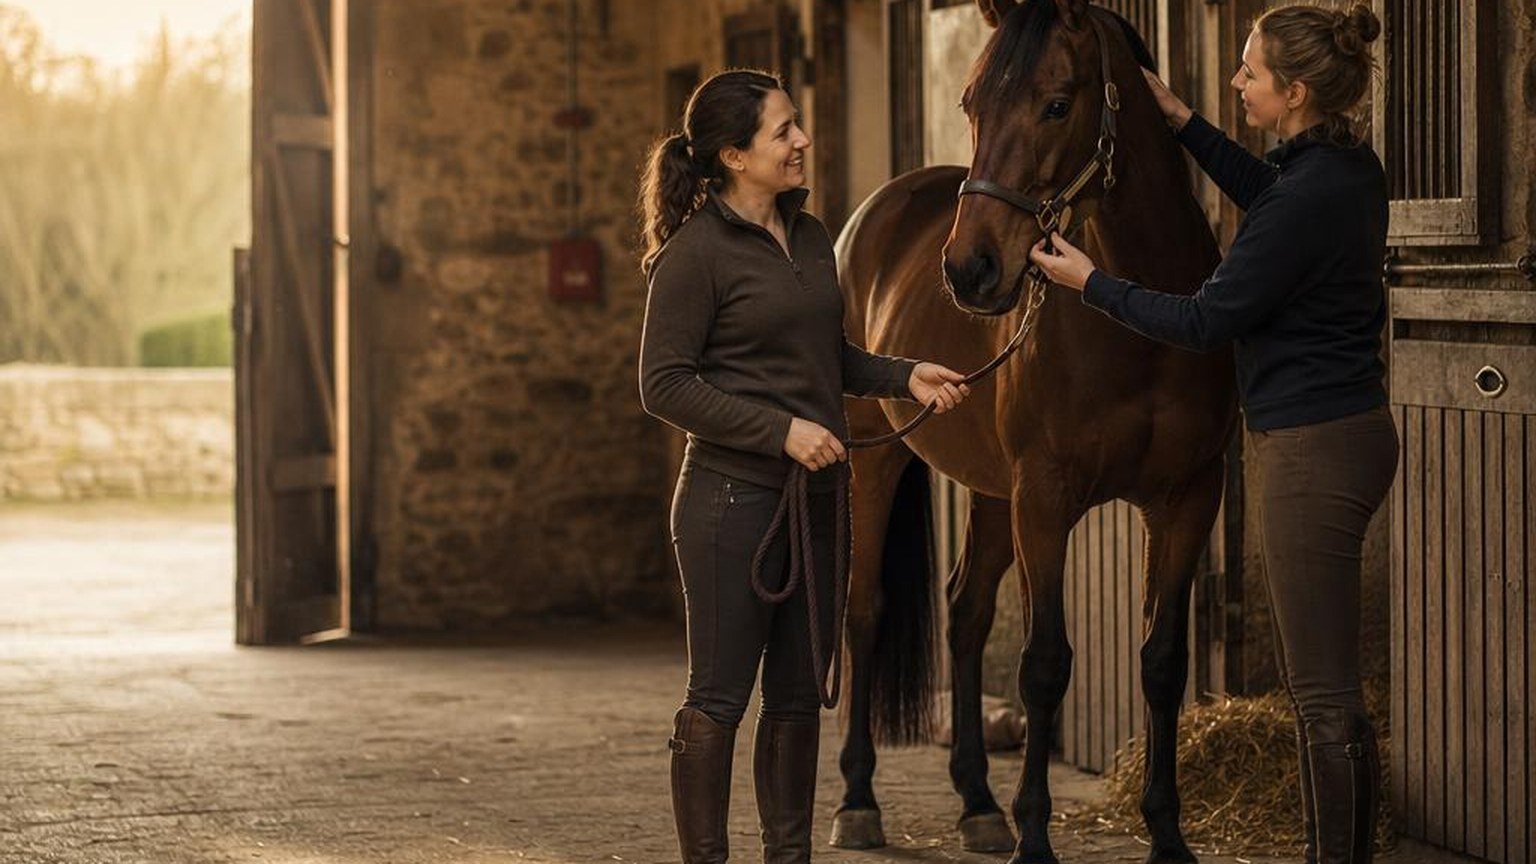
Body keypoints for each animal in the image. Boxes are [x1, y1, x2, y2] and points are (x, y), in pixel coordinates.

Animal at [830, 2, 1237, 863]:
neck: (1144, 321)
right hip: (875, 465)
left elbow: (1162, 660)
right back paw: (858, 801)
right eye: (971, 104)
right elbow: (1045, 665)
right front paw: (1036, 837)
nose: (971, 270)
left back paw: (979, 804)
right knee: (865, 610)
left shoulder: (1188, 497)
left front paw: (1166, 834)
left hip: (990, 491)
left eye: (1056, 103)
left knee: (964, 612)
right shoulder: (1044, 499)